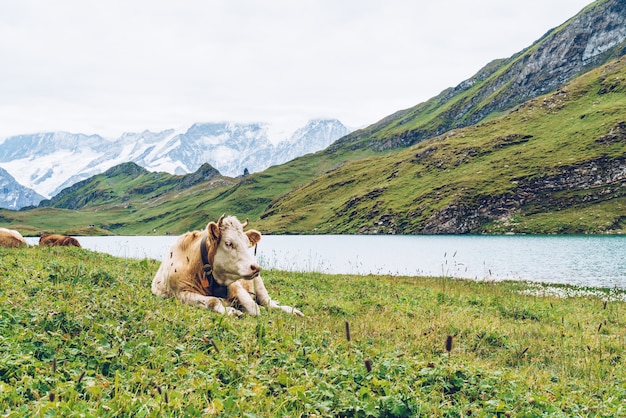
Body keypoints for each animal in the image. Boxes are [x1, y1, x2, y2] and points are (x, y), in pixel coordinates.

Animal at [151, 216, 302, 316]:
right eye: (228, 243)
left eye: (247, 244)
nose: (255, 267)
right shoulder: (181, 293)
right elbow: (213, 301)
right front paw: (231, 310)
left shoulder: (235, 285)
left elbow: (254, 308)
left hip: (258, 283)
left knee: (268, 302)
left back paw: (292, 311)